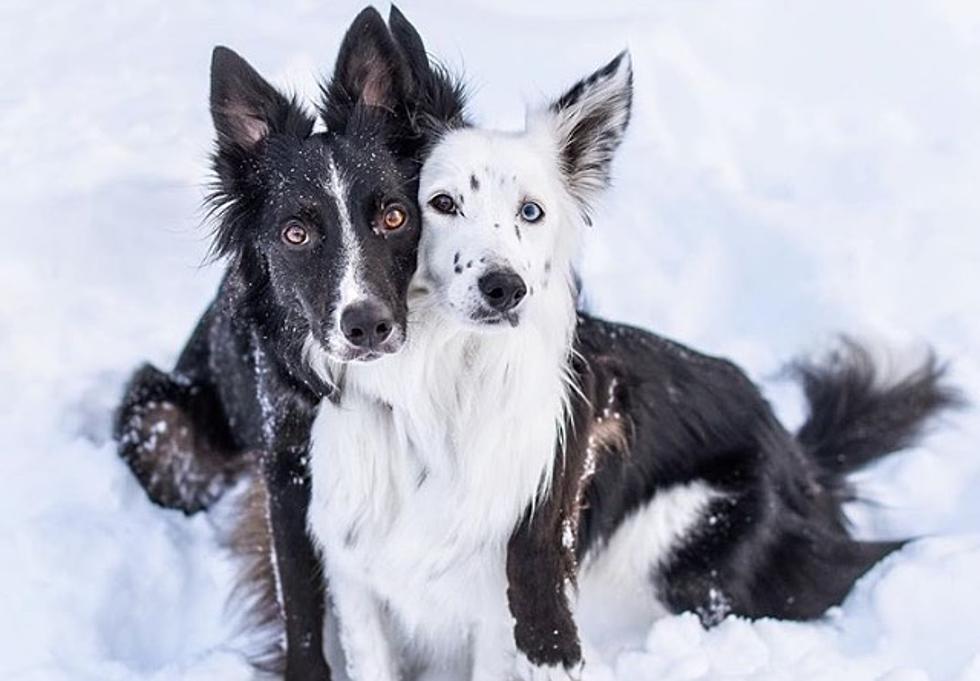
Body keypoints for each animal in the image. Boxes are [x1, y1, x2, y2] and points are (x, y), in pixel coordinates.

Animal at [113, 7, 466, 676]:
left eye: (395, 216)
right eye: (295, 233)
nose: (366, 327)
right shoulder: (289, 471)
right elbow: (300, 606)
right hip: (157, 412)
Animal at [230, 49, 956, 680]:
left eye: (530, 212)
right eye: (441, 203)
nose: (504, 288)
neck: (441, 393)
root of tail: (802, 461)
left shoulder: (498, 590)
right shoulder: (355, 577)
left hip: (684, 542)